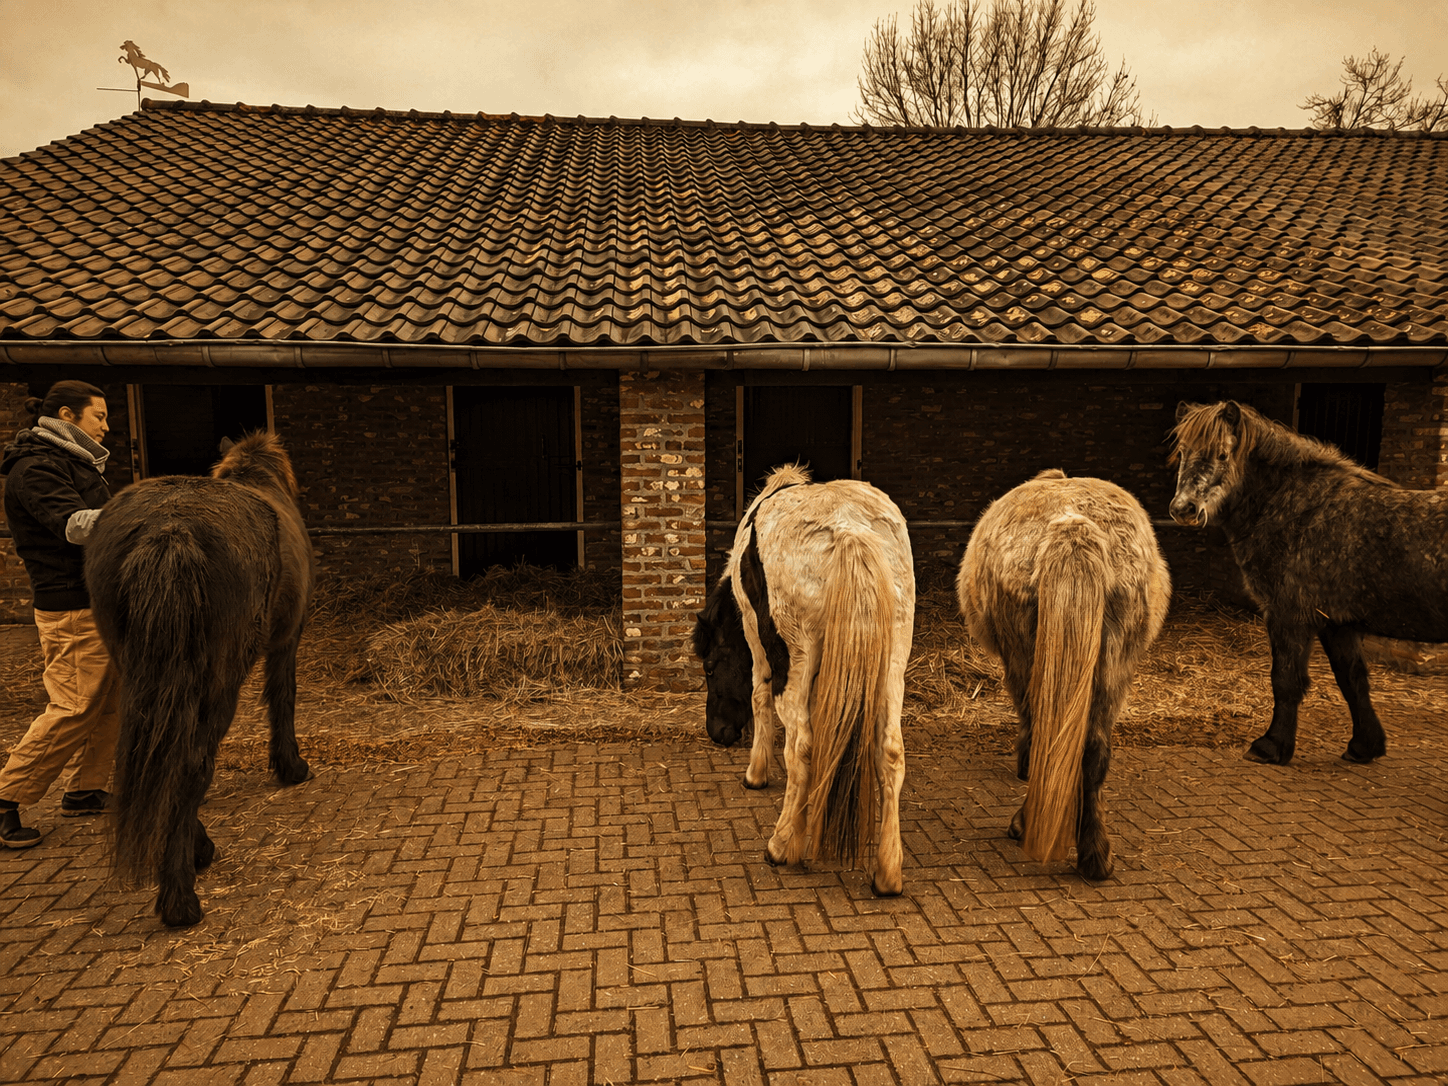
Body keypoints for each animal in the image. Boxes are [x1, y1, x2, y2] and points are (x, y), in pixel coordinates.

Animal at [85, 432, 313, 929]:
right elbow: (282, 698)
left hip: (141, 673)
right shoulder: (288, 638)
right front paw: (291, 767)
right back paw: (180, 898)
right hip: (218, 682)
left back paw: (196, 851)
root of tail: (169, 529)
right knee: (191, 761)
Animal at [692, 465, 915, 896]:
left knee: (801, 746)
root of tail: (849, 528)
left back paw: (781, 845)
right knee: (891, 752)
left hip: (794, 659)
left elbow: (759, 698)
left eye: (710, 667)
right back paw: (888, 873)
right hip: (893, 662)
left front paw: (756, 774)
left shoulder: (753, 634)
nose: (718, 732)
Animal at [958, 470, 1170, 881]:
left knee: (1046, 730)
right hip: (1112, 668)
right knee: (1094, 749)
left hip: (1028, 658)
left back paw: (1025, 824)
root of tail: (1072, 527)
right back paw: (1095, 855)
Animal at [1169, 399, 1448, 766]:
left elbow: (1285, 680)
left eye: (1222, 454)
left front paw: (1271, 745)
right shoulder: (1337, 624)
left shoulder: (1289, 616)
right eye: (1182, 451)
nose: (1183, 509)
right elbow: (1352, 680)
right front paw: (1364, 746)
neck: (1300, 509)